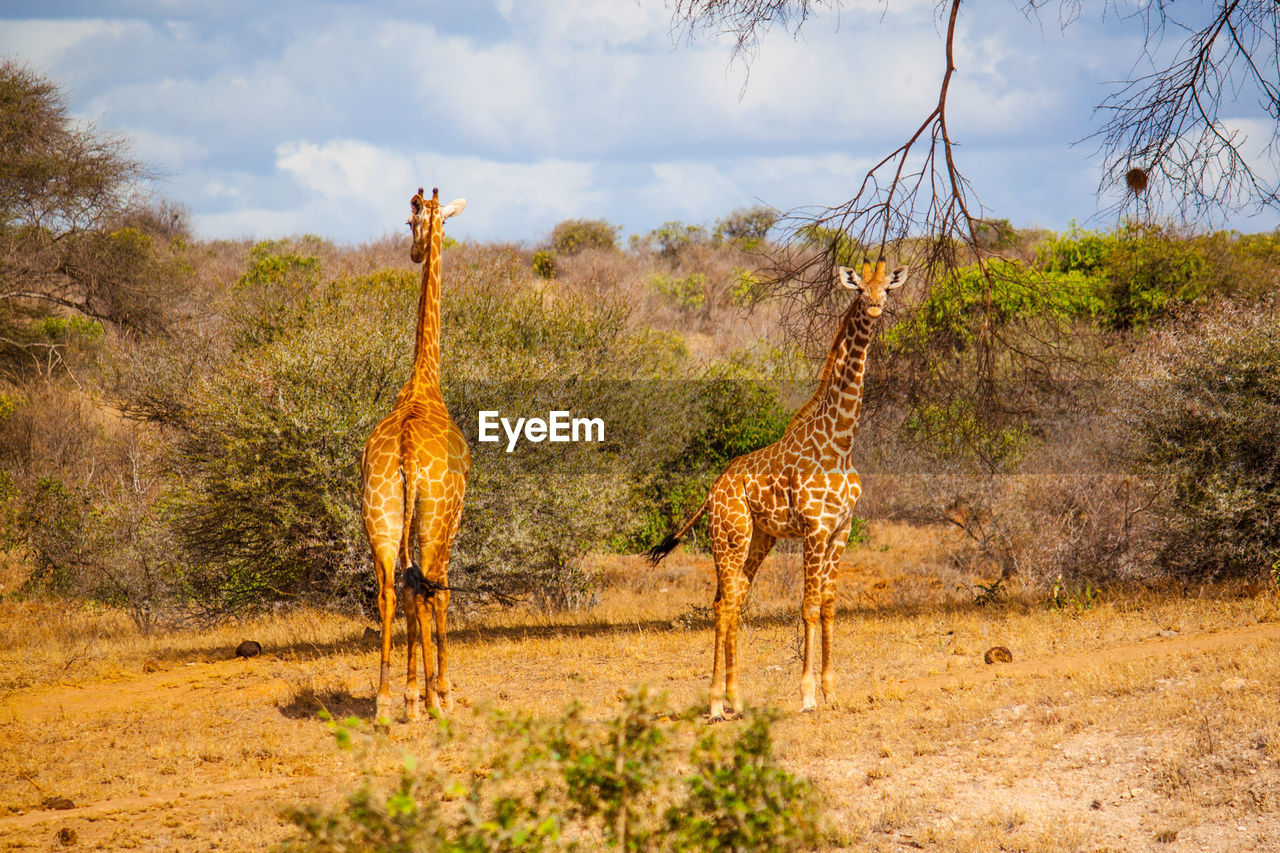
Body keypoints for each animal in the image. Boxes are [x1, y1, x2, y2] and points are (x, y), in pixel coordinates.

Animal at [650, 258, 911, 717]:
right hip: (729, 536)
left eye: (887, 289)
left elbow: (828, 606)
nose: (876, 306)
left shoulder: (841, 530)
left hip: (759, 538)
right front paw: (806, 696)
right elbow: (808, 607)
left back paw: (735, 699)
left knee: (735, 600)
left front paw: (831, 691)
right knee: (723, 603)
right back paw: (715, 705)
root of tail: (712, 489)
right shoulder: (814, 530)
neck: (840, 442)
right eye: (860, 289)